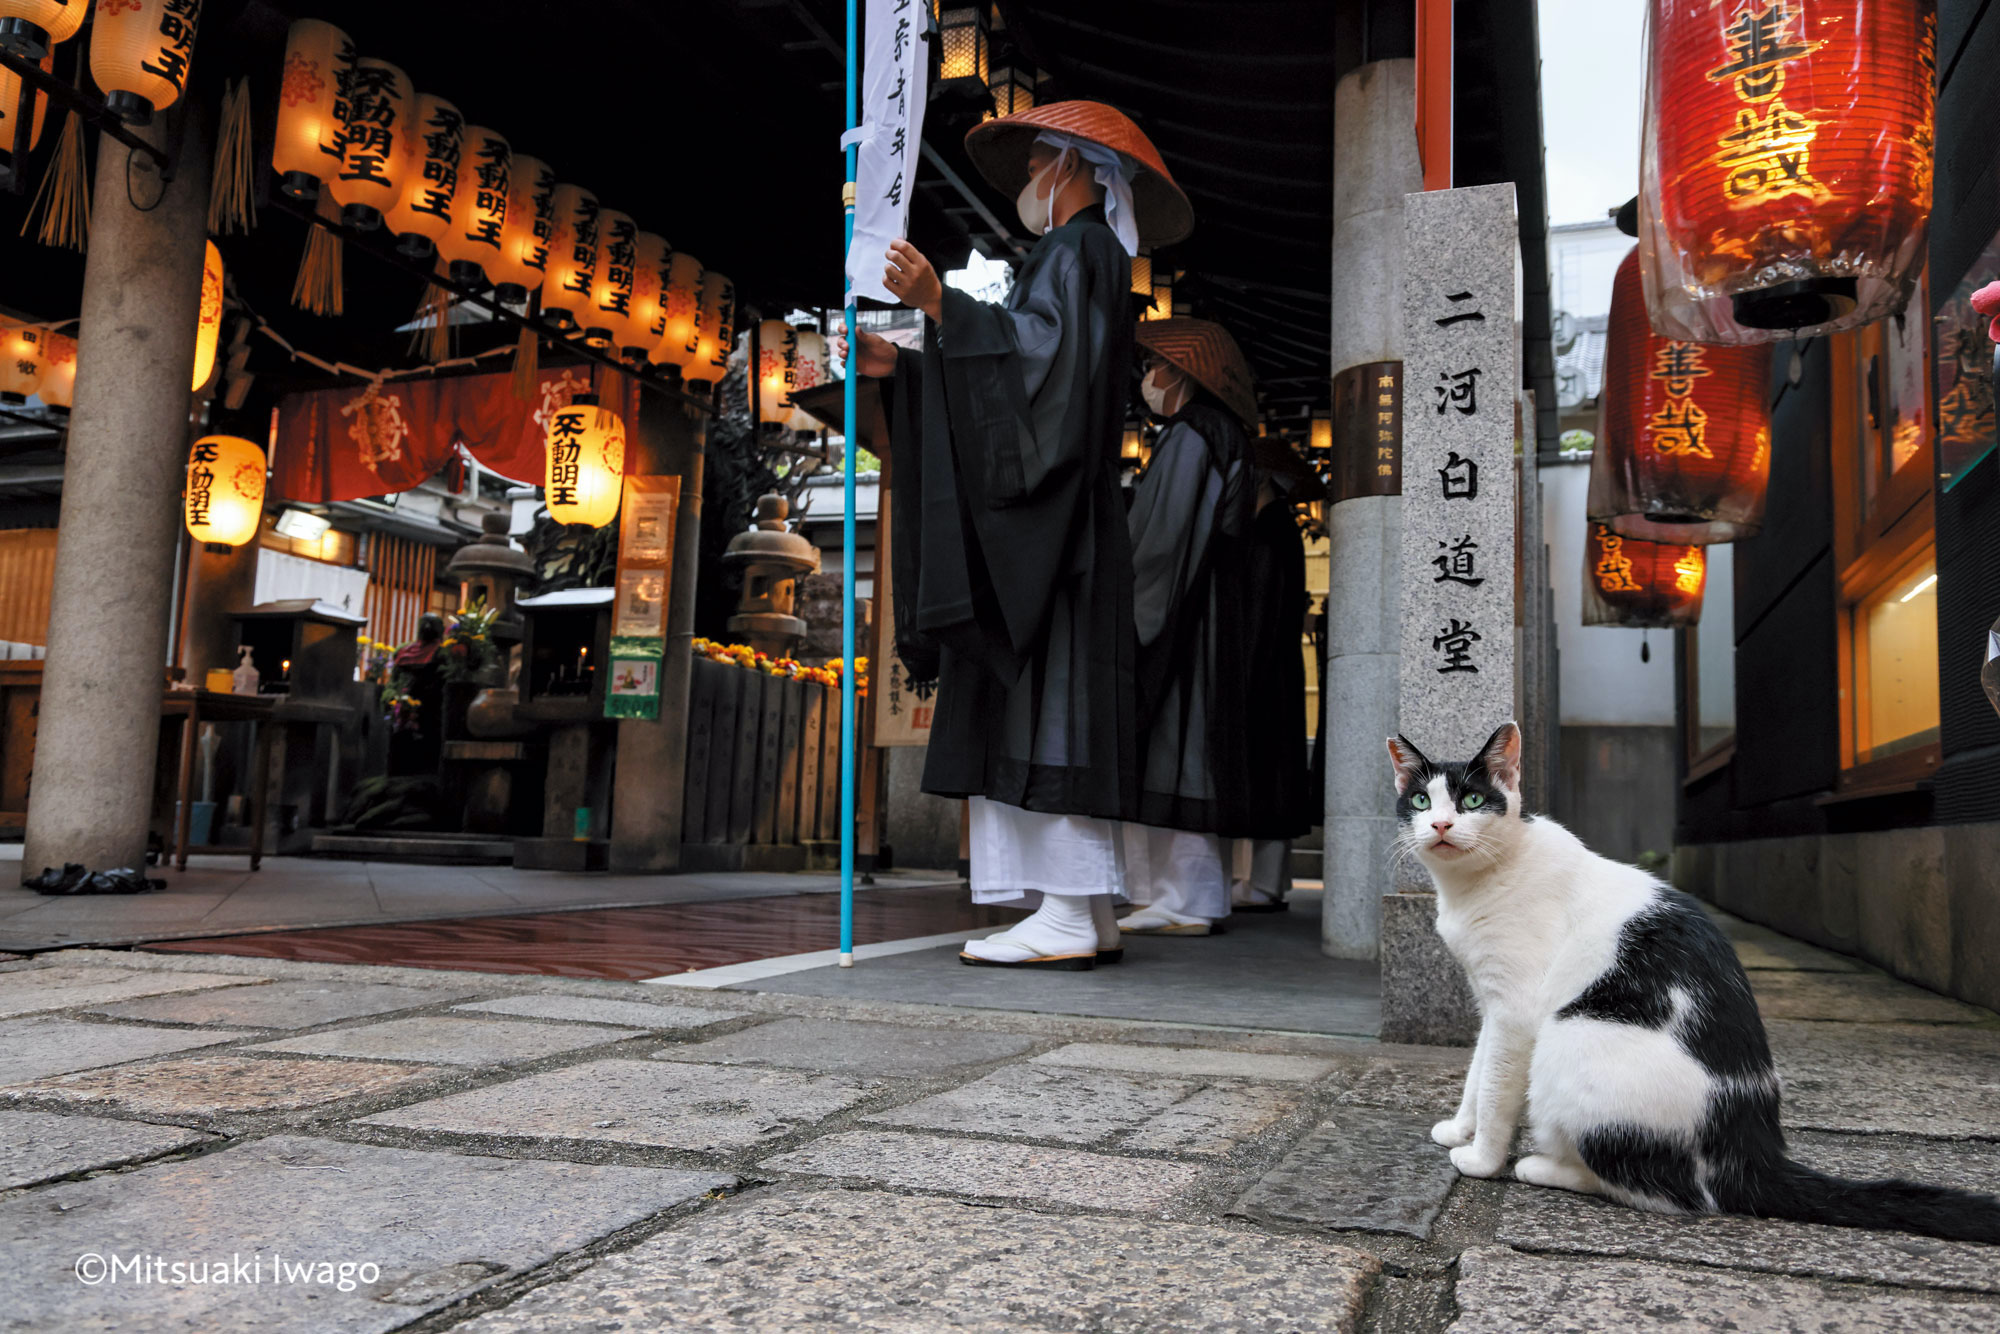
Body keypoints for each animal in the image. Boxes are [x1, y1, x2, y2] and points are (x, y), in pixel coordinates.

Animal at [1400, 720, 2000, 1240]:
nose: (1441, 825)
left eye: (1472, 801)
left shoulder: (1517, 1010)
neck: (1478, 883)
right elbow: (1478, 1073)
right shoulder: (1490, 1002)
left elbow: (1497, 1087)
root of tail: (1753, 1151)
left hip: (1569, 1039)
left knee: (1675, 1192)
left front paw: (1481, 1158)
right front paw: (1459, 1128)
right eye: (1422, 802)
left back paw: (1543, 1167)